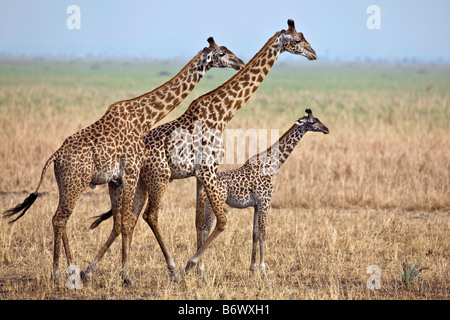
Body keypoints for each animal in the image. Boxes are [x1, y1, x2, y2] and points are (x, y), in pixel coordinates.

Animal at [1, 38, 244, 288]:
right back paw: (58, 276)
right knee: (60, 219)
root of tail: (55, 157)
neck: (144, 118)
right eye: (222, 53)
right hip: (75, 183)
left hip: (66, 185)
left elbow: (121, 223)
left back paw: (71, 271)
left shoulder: (117, 180)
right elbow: (127, 222)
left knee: (62, 220)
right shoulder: (130, 172)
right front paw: (127, 277)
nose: (240, 62)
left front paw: (111, 274)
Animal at [196, 108, 326, 278]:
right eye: (312, 121)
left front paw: (252, 268)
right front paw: (264, 271)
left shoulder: (257, 205)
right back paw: (201, 268)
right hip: (214, 205)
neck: (271, 167)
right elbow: (264, 233)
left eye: (318, 119)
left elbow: (255, 234)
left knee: (202, 229)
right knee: (206, 230)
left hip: (207, 204)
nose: (326, 129)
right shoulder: (265, 202)